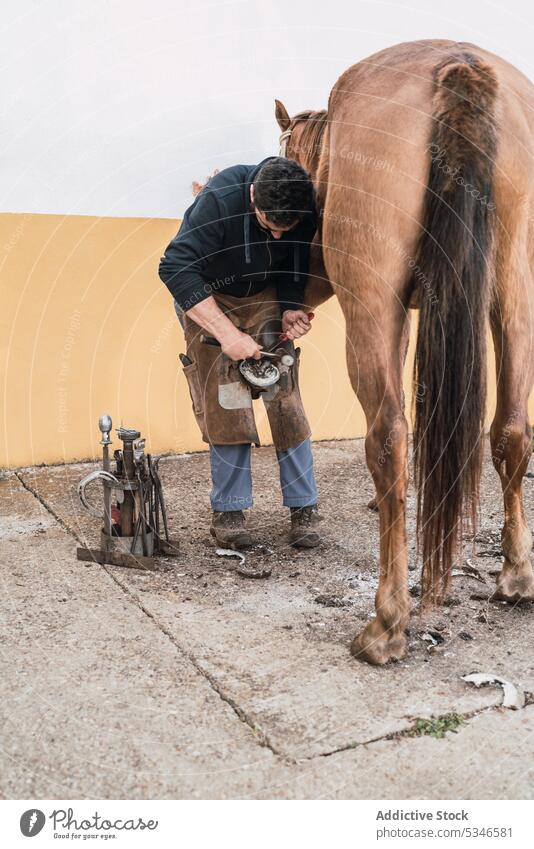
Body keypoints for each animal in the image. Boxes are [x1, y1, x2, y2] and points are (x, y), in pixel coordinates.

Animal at [280, 39, 534, 664]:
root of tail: (459, 64)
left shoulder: (384, 312)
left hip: (370, 309)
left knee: (389, 439)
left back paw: (387, 621)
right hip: (512, 289)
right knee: (511, 431)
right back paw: (515, 575)